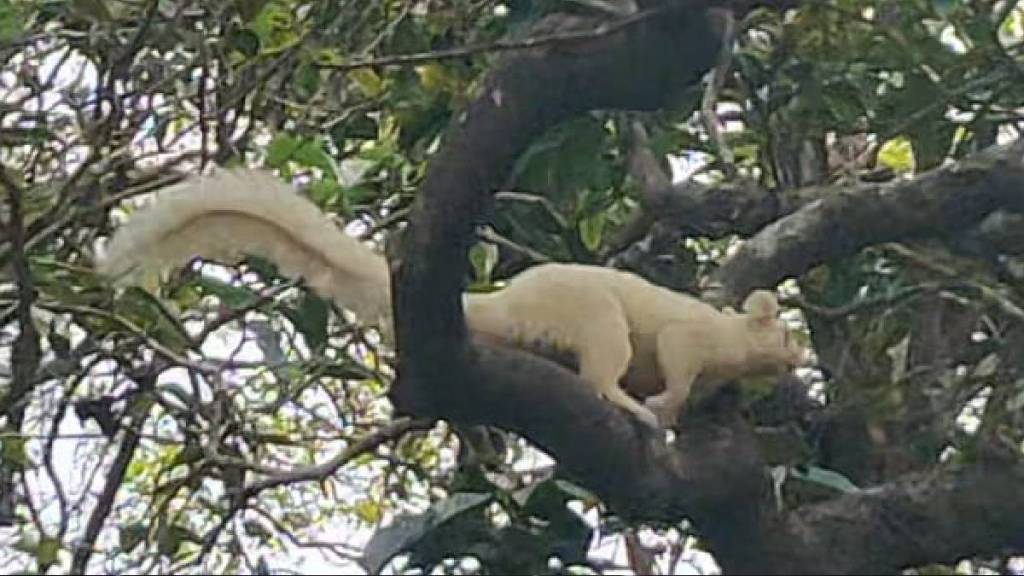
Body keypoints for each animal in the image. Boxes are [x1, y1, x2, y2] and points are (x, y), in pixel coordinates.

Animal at [96, 169, 806, 426]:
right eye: (786, 334)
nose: (798, 360)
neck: (732, 335)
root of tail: (505, 304)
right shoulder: (692, 341)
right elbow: (679, 364)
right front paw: (667, 404)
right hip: (598, 320)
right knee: (600, 370)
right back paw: (628, 405)